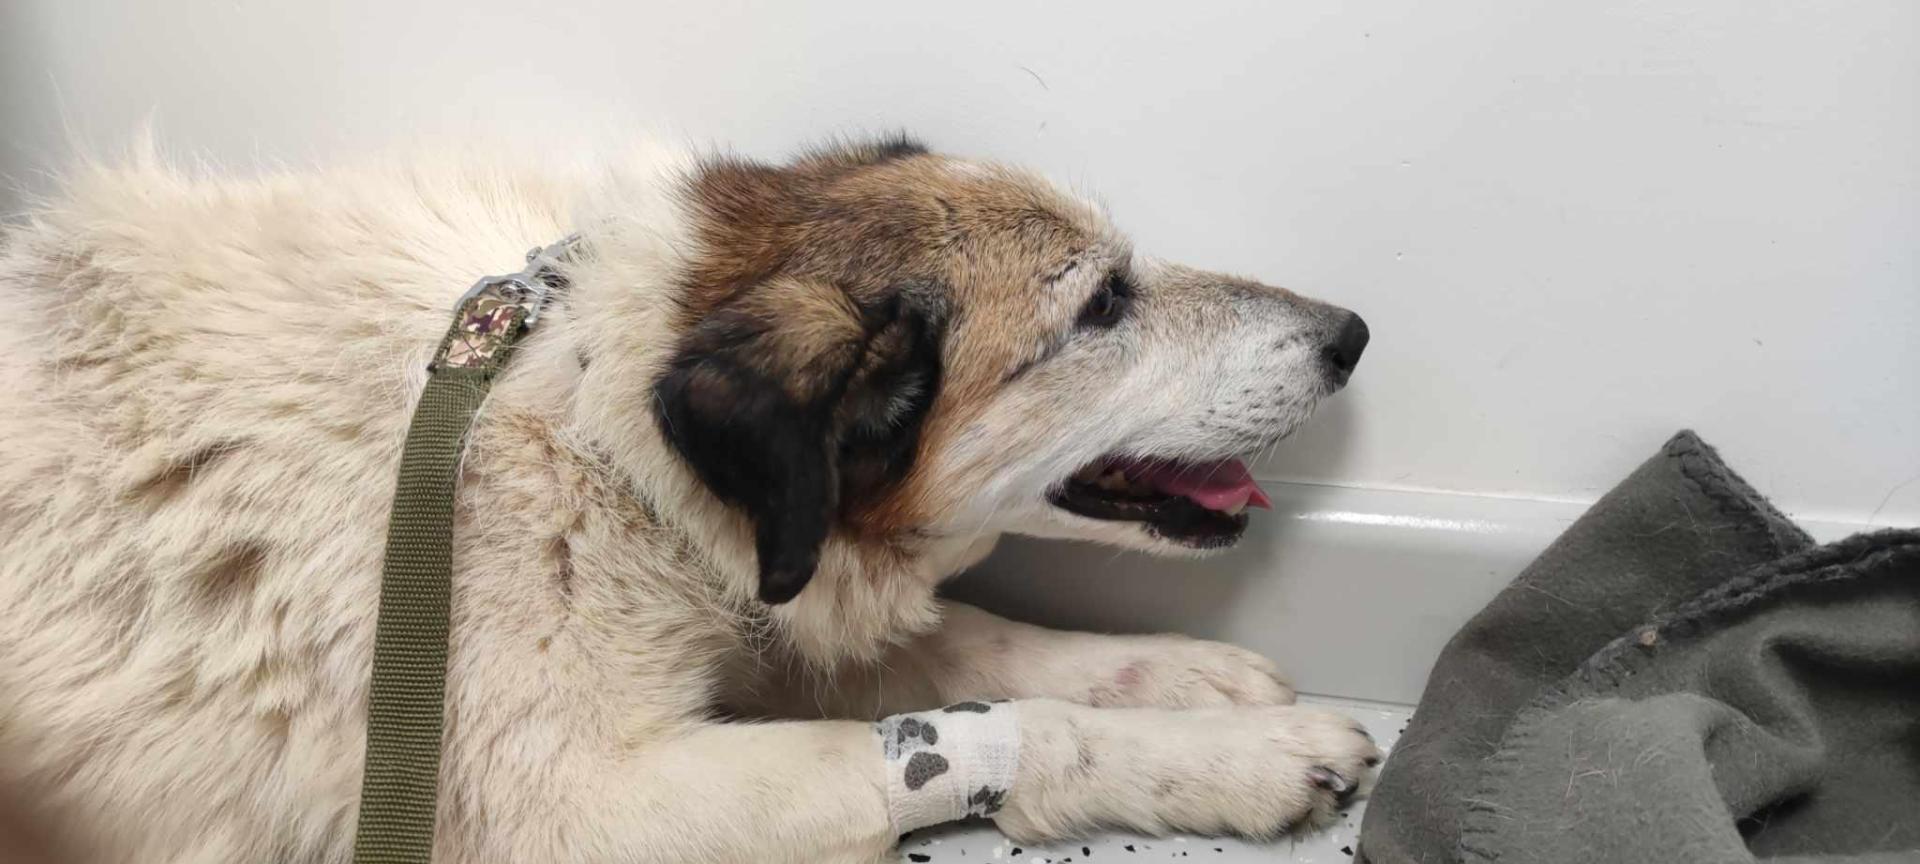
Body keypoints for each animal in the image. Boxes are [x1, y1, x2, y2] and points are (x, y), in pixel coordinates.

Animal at [0, 135, 1378, 864]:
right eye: (1101, 306)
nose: (1352, 334)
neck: (597, 433)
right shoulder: (575, 811)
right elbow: (990, 730)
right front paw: (1238, 758)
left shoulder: (765, 595)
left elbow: (985, 650)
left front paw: (1192, 689)